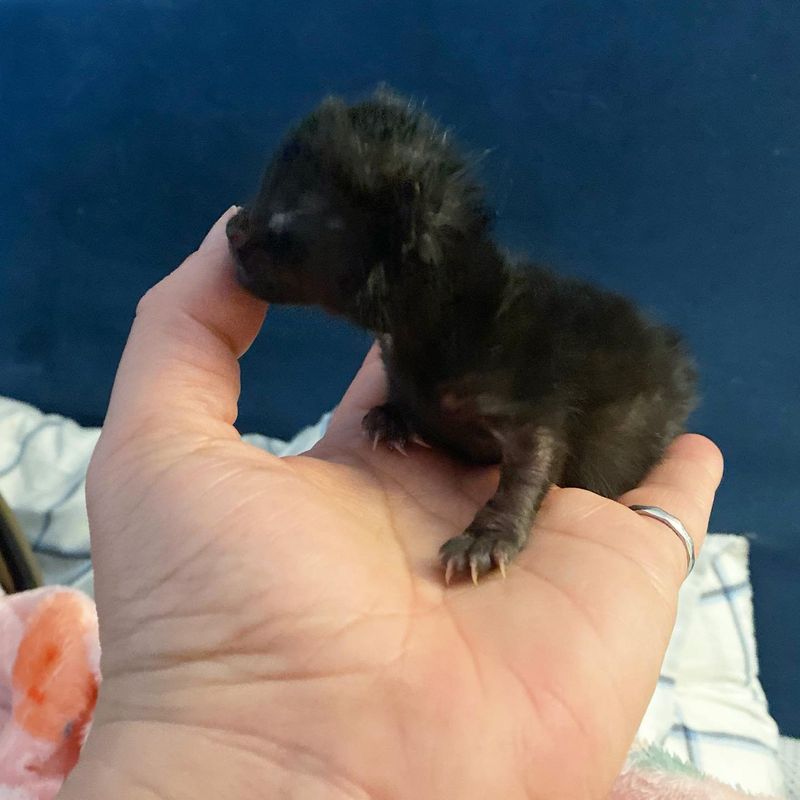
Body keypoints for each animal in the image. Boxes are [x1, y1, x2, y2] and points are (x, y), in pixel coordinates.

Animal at [225, 87, 692, 584]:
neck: (445, 314)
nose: (233, 227)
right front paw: (391, 417)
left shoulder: (529, 392)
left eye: (285, 219)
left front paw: (485, 540)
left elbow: (535, 459)